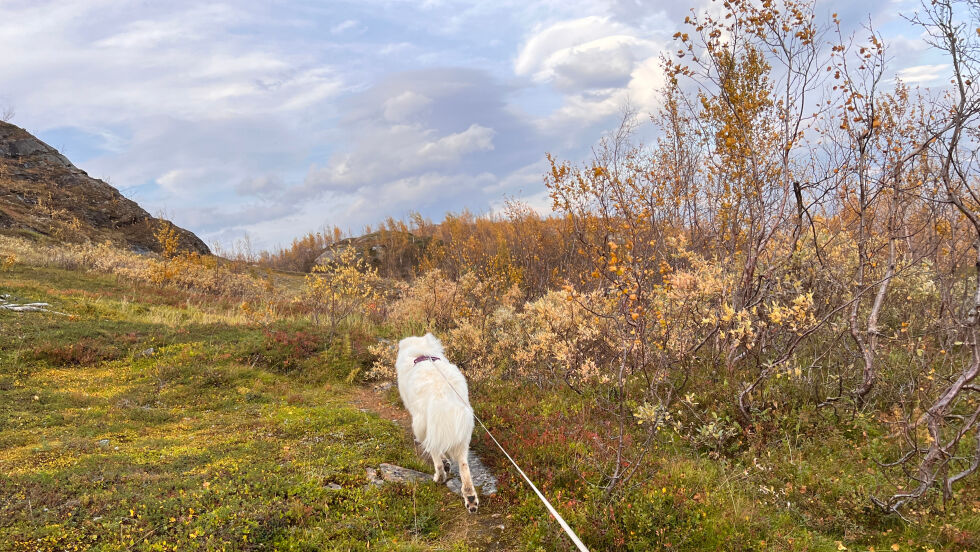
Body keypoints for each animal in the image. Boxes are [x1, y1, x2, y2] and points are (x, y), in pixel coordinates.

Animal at [394, 332, 478, 512]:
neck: (422, 353)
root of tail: (444, 395)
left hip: (424, 424)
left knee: (435, 456)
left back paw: (439, 477)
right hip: (462, 434)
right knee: (464, 466)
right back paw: (470, 498)